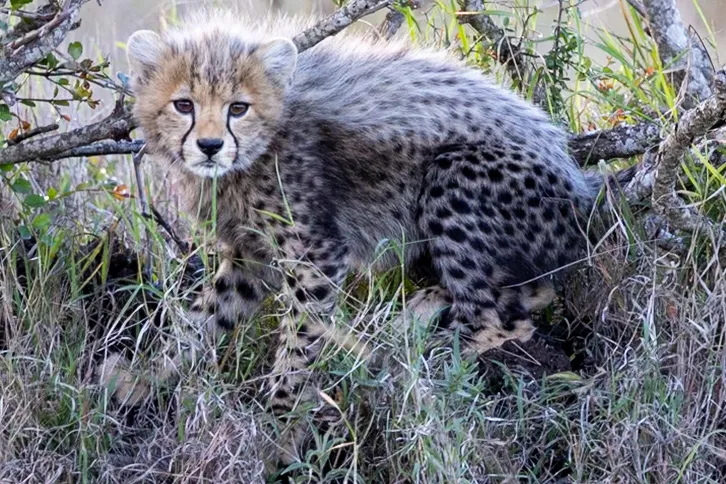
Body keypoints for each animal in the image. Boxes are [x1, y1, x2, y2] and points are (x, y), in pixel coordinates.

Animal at [103, 11, 633, 465]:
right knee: (526, 293)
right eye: (184, 104)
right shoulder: (252, 257)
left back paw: (401, 358)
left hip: (451, 175)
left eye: (238, 107)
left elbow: (295, 348)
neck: (260, 147)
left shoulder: (315, 256)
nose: (210, 146)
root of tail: (582, 184)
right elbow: (199, 319)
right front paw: (143, 377)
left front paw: (278, 429)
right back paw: (418, 317)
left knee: (500, 319)